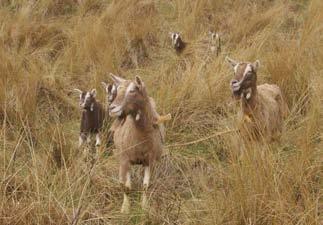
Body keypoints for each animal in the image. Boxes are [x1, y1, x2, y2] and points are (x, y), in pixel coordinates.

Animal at [108, 74, 165, 214]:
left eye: (133, 90)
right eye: (117, 90)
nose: (111, 108)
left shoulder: (150, 161)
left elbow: (145, 186)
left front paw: (144, 206)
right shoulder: (124, 159)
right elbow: (125, 187)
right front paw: (125, 208)